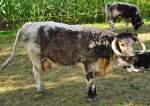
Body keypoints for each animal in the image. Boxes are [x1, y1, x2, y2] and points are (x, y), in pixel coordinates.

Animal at [0, 21, 145, 100]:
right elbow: (90, 81)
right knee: (36, 73)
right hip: (35, 58)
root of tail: (29, 24)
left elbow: (94, 81)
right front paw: (91, 95)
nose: (133, 57)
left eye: (133, 43)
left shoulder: (95, 67)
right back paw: (40, 90)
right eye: (122, 44)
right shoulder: (88, 66)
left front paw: (94, 93)